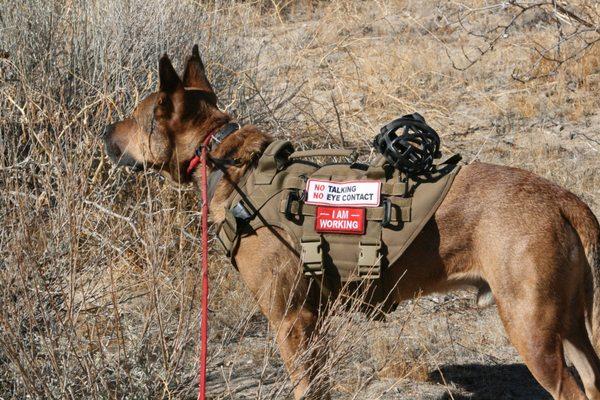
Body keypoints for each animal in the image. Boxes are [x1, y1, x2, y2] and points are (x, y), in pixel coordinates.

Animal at [102, 47, 600, 400]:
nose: (106, 131)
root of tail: (563, 199)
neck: (224, 157)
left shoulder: (292, 320)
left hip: (532, 327)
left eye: (139, 117)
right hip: (572, 325)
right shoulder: (313, 322)